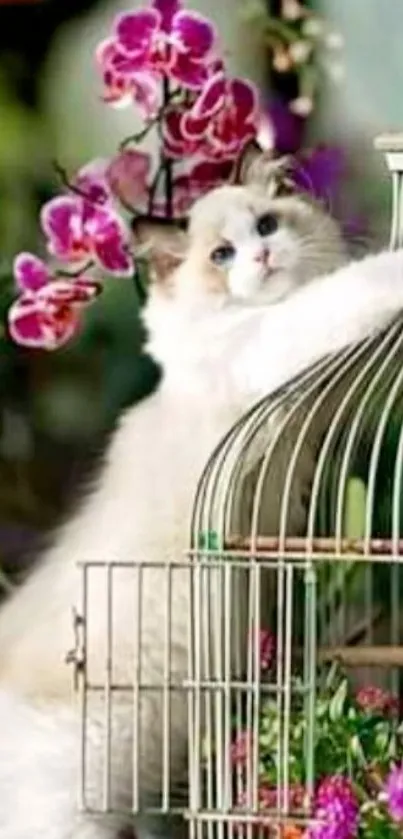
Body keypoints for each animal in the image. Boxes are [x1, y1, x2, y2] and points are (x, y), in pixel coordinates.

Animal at [0, 153, 403, 839]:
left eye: (267, 224)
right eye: (221, 255)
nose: (261, 258)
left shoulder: (312, 409)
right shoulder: (275, 341)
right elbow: (353, 286)